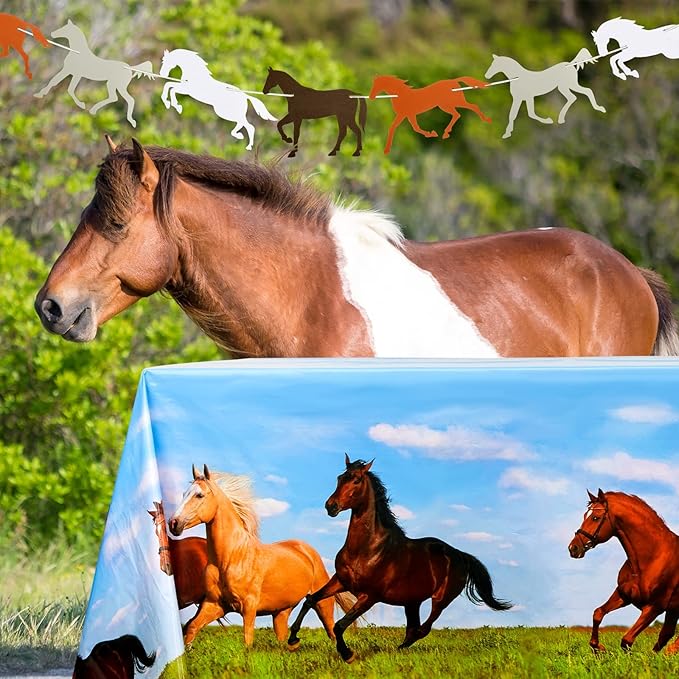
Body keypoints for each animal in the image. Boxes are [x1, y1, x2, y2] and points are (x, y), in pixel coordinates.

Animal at [167, 464, 354, 647]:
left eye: (199, 495)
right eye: (184, 493)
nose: (174, 523)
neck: (232, 557)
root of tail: (308, 551)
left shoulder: (249, 607)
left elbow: (247, 640)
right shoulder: (214, 605)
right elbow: (191, 627)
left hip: (322, 603)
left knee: (331, 631)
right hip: (281, 611)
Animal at [288, 455, 511, 662]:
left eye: (356, 480)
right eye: (340, 478)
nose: (331, 506)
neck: (367, 549)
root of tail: (459, 554)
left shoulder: (369, 596)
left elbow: (339, 625)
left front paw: (347, 654)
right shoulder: (340, 581)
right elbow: (310, 600)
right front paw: (293, 640)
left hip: (440, 599)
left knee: (422, 629)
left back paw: (395, 650)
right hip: (412, 602)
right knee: (413, 628)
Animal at [569, 489, 679, 654]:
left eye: (595, 518)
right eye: (584, 516)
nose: (573, 548)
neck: (652, 556)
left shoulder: (654, 607)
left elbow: (627, 640)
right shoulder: (623, 595)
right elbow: (598, 613)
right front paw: (598, 648)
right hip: (673, 610)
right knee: (666, 634)